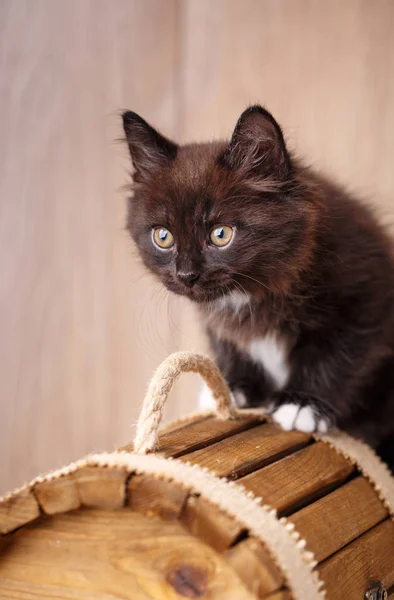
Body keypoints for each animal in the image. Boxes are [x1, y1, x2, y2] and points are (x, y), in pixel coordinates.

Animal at [124, 105, 394, 472]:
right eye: (163, 236)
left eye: (221, 234)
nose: (186, 274)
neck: (251, 292)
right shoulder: (217, 323)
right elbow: (230, 344)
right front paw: (233, 388)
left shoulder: (368, 298)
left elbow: (339, 356)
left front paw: (302, 404)